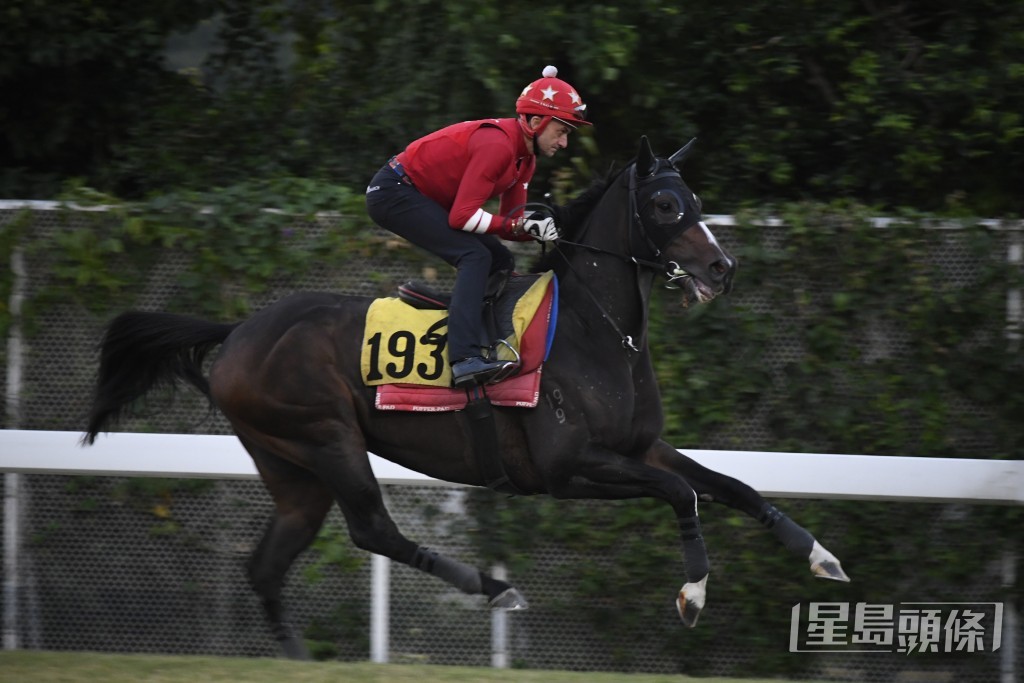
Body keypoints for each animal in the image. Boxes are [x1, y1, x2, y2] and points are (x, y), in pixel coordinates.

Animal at [81, 137, 847, 655]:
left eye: (696, 202)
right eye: (664, 204)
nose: (722, 268)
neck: (595, 330)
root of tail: (239, 329)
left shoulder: (641, 445)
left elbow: (733, 484)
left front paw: (818, 553)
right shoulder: (567, 468)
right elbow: (684, 493)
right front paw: (692, 593)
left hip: (292, 469)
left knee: (269, 565)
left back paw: (300, 658)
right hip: (325, 438)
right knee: (372, 529)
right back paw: (495, 588)